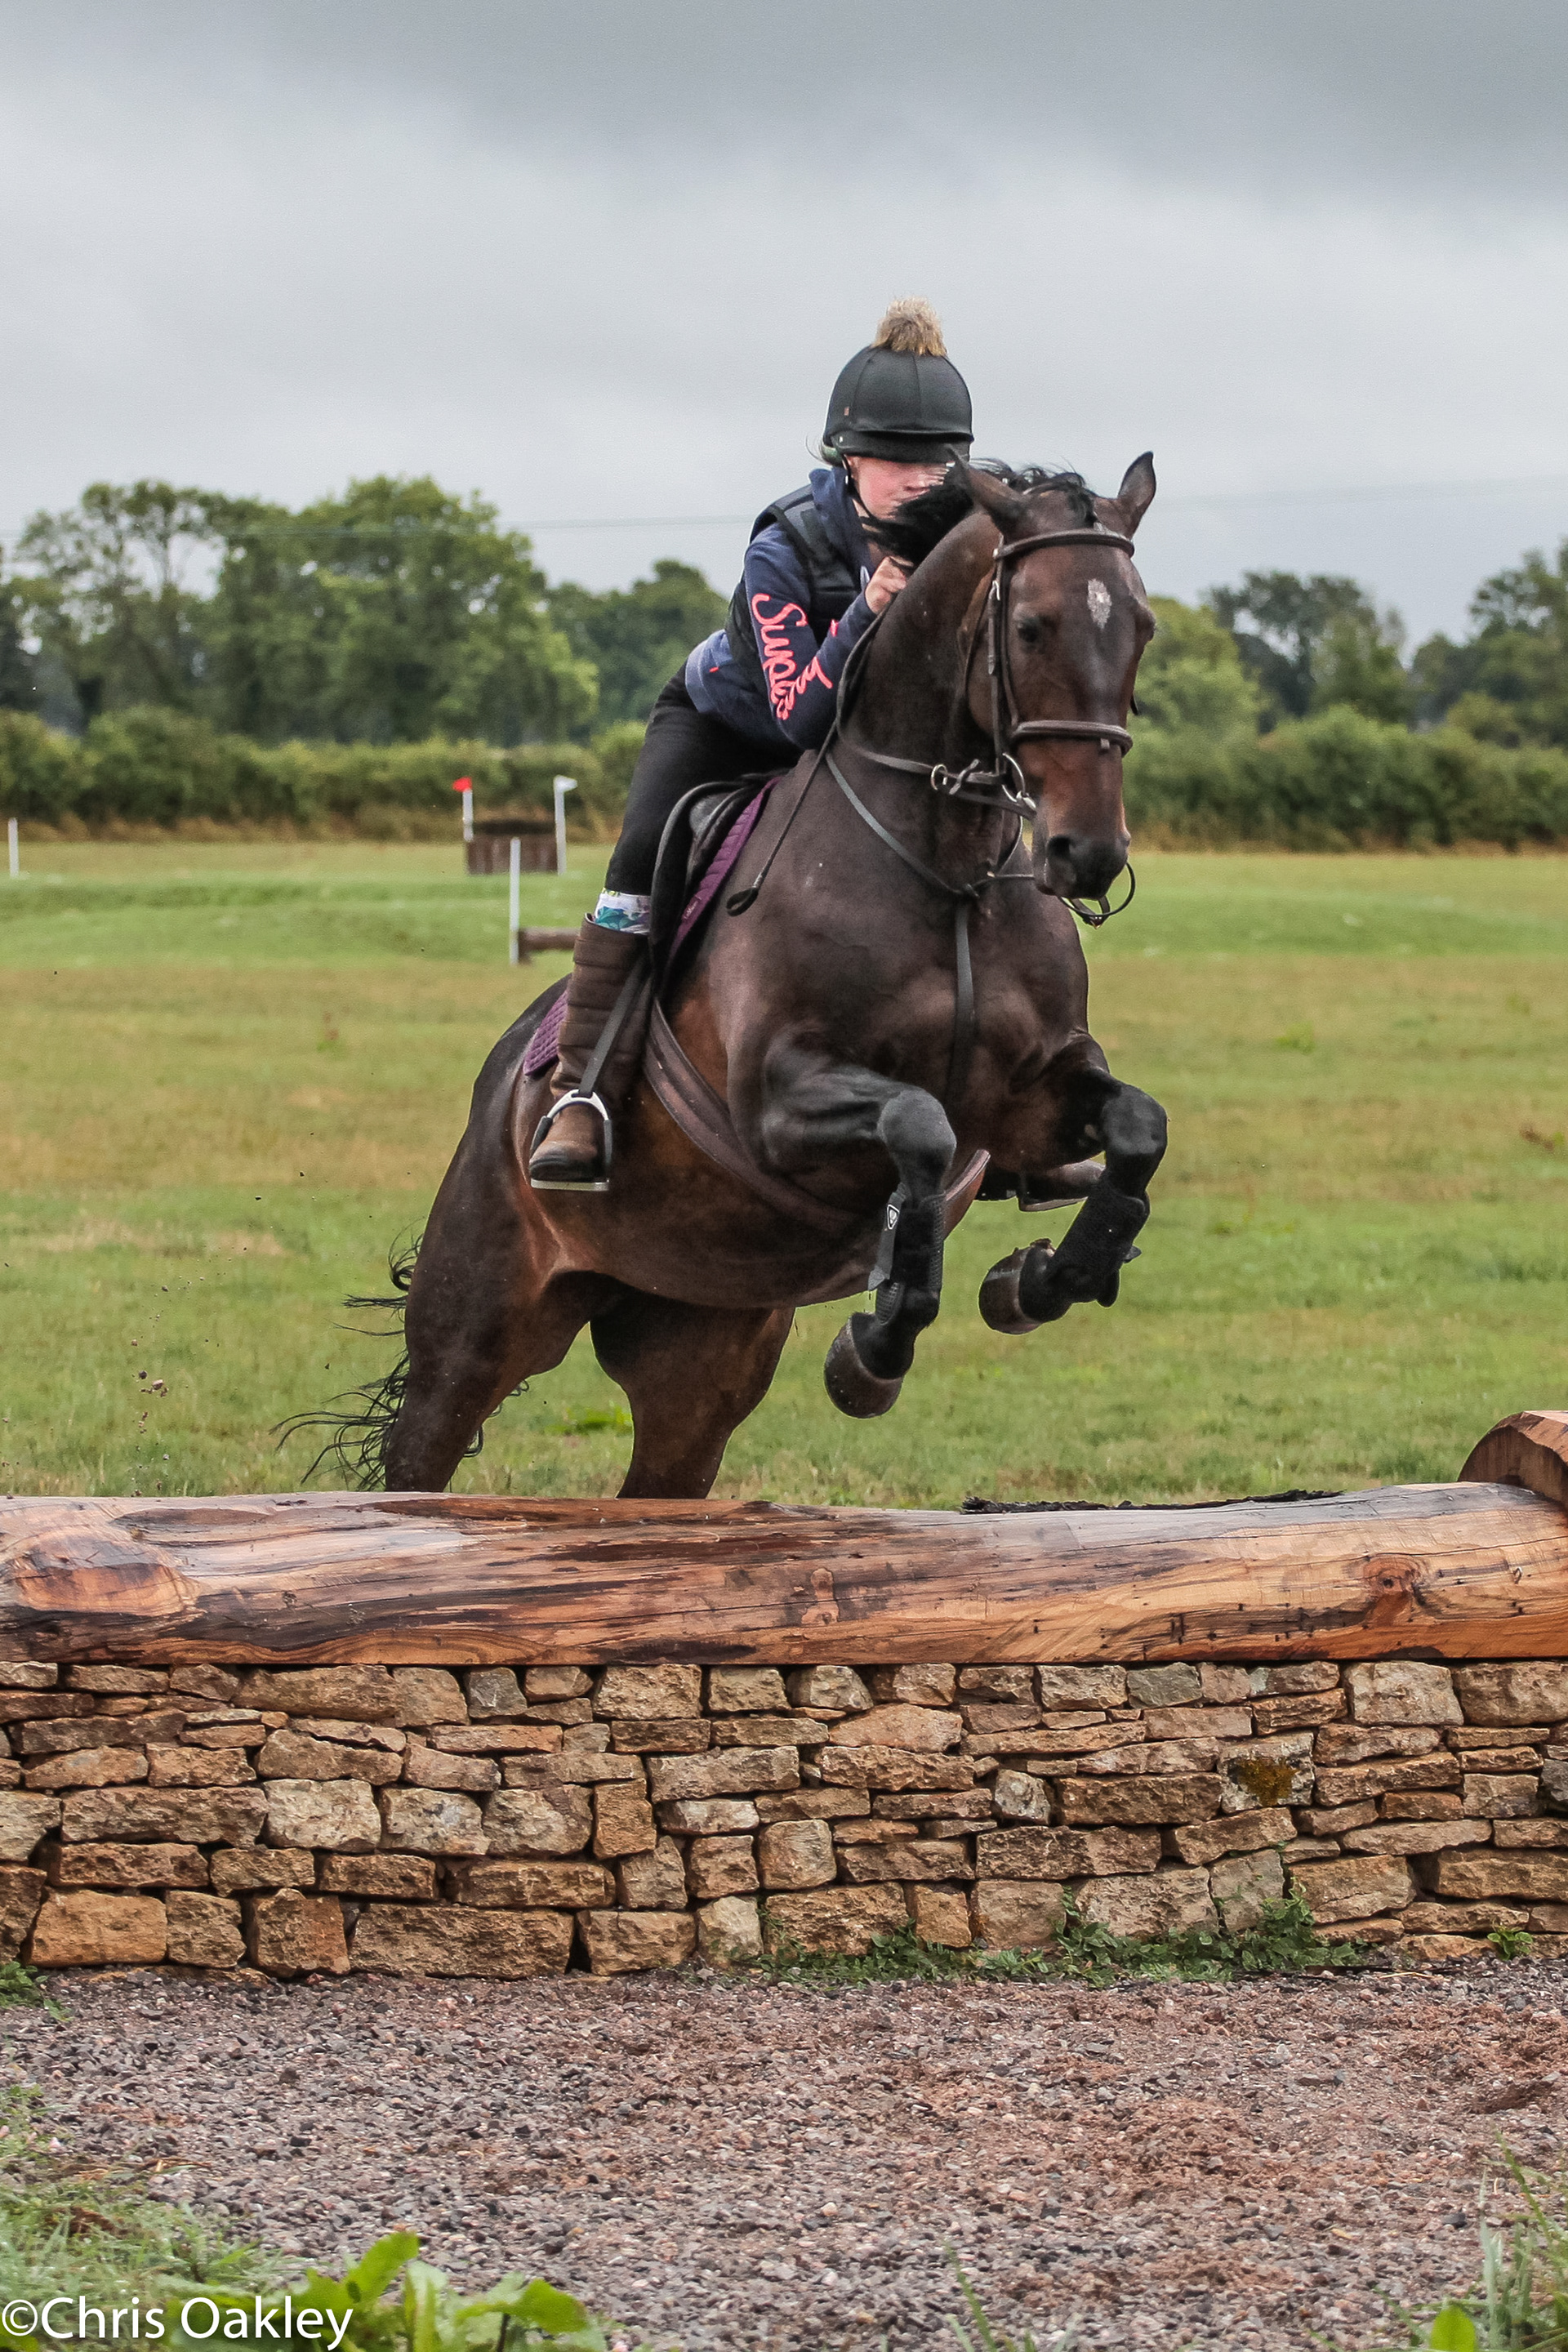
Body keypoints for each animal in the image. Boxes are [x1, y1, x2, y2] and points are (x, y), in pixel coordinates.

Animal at [322, 458, 1169, 1499]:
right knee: (423, 1449)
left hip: (700, 1354)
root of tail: (505, 1084)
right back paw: (570, 1134)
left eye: (1142, 626)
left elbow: (1136, 1129)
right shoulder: (775, 1103)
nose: (1087, 854)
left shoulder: (1034, 1098)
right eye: (1033, 627)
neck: (947, 865)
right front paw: (875, 1348)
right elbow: (918, 1125)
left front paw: (1042, 1279)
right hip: (478, 1325)